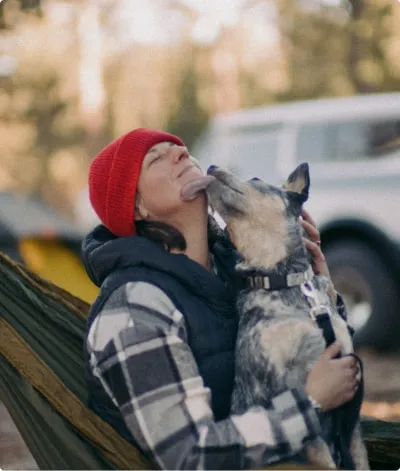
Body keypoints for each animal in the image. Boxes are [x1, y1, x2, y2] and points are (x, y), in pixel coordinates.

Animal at [206, 164, 368, 470]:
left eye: (255, 179)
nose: (210, 167)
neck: (284, 282)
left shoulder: (351, 410)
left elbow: (359, 456)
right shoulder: (284, 390)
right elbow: (323, 456)